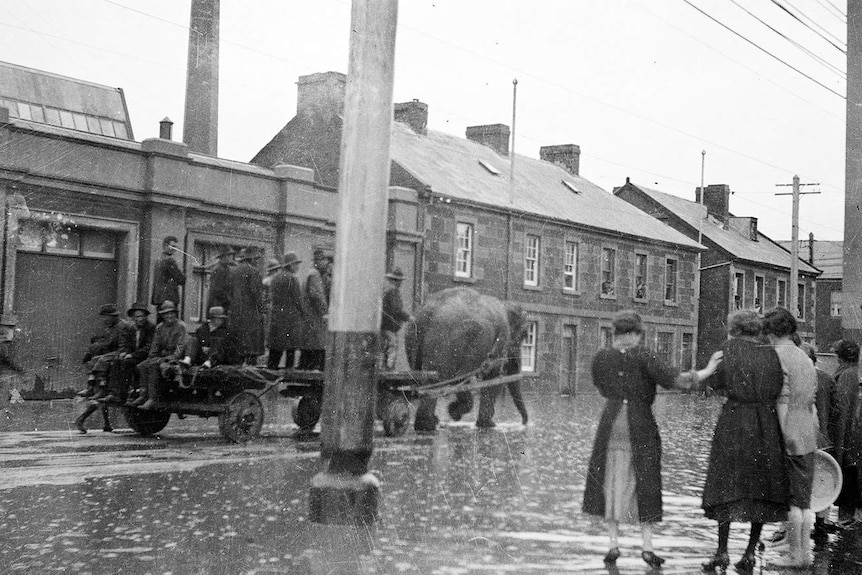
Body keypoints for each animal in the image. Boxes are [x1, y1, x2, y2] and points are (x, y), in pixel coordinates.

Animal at [404, 288, 528, 432]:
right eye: (523, 335)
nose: (523, 423)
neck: (505, 304)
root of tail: (429, 311)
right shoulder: (502, 336)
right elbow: (494, 379)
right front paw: (486, 424)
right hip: (450, 342)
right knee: (445, 381)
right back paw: (429, 424)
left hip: (413, 337)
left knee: (424, 380)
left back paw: (429, 422)